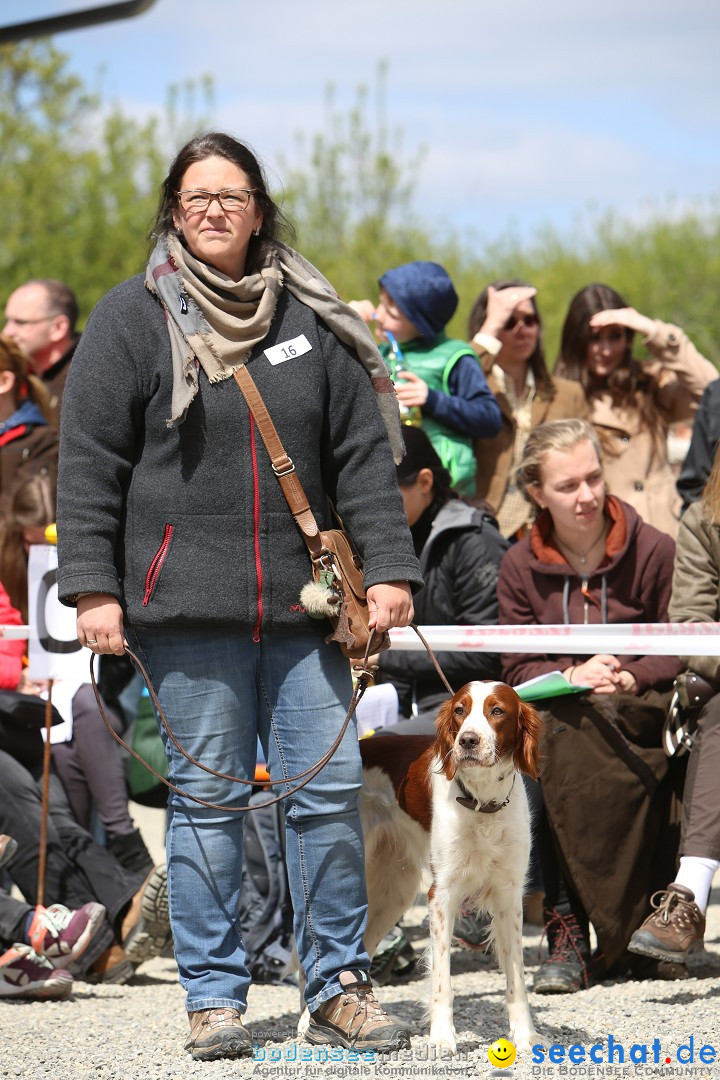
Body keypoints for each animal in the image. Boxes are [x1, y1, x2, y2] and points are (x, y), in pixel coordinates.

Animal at [360, 678, 546, 1049]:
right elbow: (442, 980)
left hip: (393, 895)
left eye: (497, 710)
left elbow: (516, 979)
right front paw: (442, 1038)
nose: (468, 740)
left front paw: (525, 1036)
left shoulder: (509, 896)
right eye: (460, 710)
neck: (482, 803)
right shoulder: (441, 895)